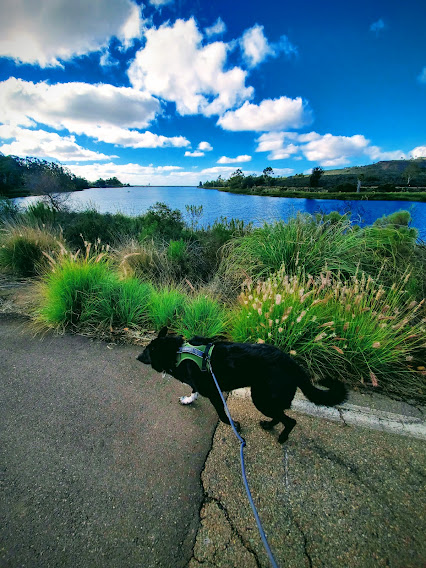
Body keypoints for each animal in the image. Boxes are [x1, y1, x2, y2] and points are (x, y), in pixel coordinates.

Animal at [138, 328, 348, 444]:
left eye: (146, 351)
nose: (137, 357)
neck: (178, 352)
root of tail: (293, 364)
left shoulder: (215, 393)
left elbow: (223, 415)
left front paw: (235, 425)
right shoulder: (200, 385)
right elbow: (194, 391)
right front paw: (189, 400)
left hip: (261, 398)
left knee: (290, 421)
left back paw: (282, 437)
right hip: (265, 398)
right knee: (280, 416)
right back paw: (268, 425)